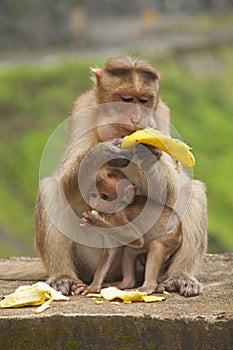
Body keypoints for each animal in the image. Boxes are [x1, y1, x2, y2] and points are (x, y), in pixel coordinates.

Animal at [0, 56, 208, 296]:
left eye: (144, 100)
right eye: (126, 99)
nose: (137, 118)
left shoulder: (161, 115)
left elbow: (173, 191)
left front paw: (148, 154)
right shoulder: (83, 109)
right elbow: (63, 177)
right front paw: (102, 152)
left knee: (192, 192)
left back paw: (180, 277)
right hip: (87, 260)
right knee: (51, 188)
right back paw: (63, 276)